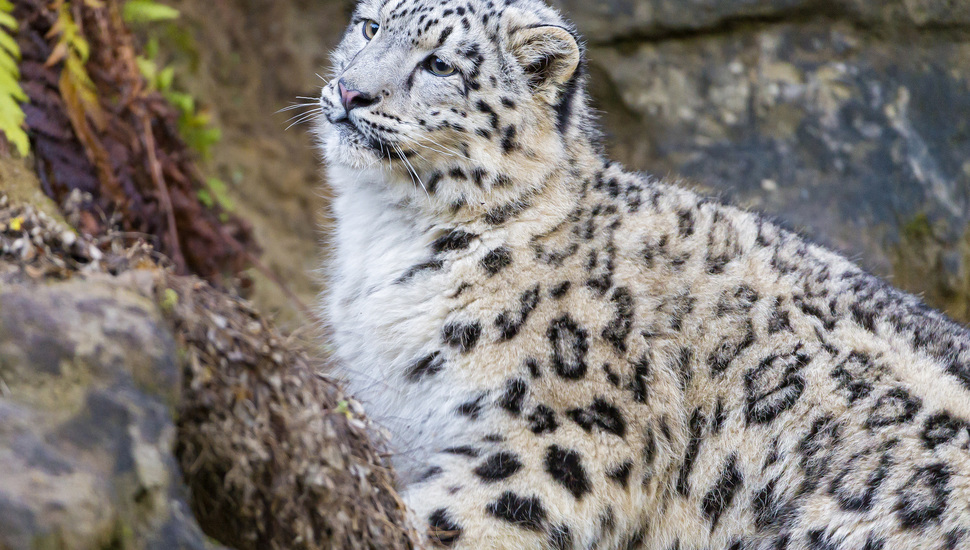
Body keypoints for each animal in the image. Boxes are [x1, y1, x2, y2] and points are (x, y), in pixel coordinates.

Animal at [314, 0, 970, 548]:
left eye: (440, 64)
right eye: (369, 27)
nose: (351, 91)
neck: (384, 236)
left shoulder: (563, 436)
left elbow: (452, 514)